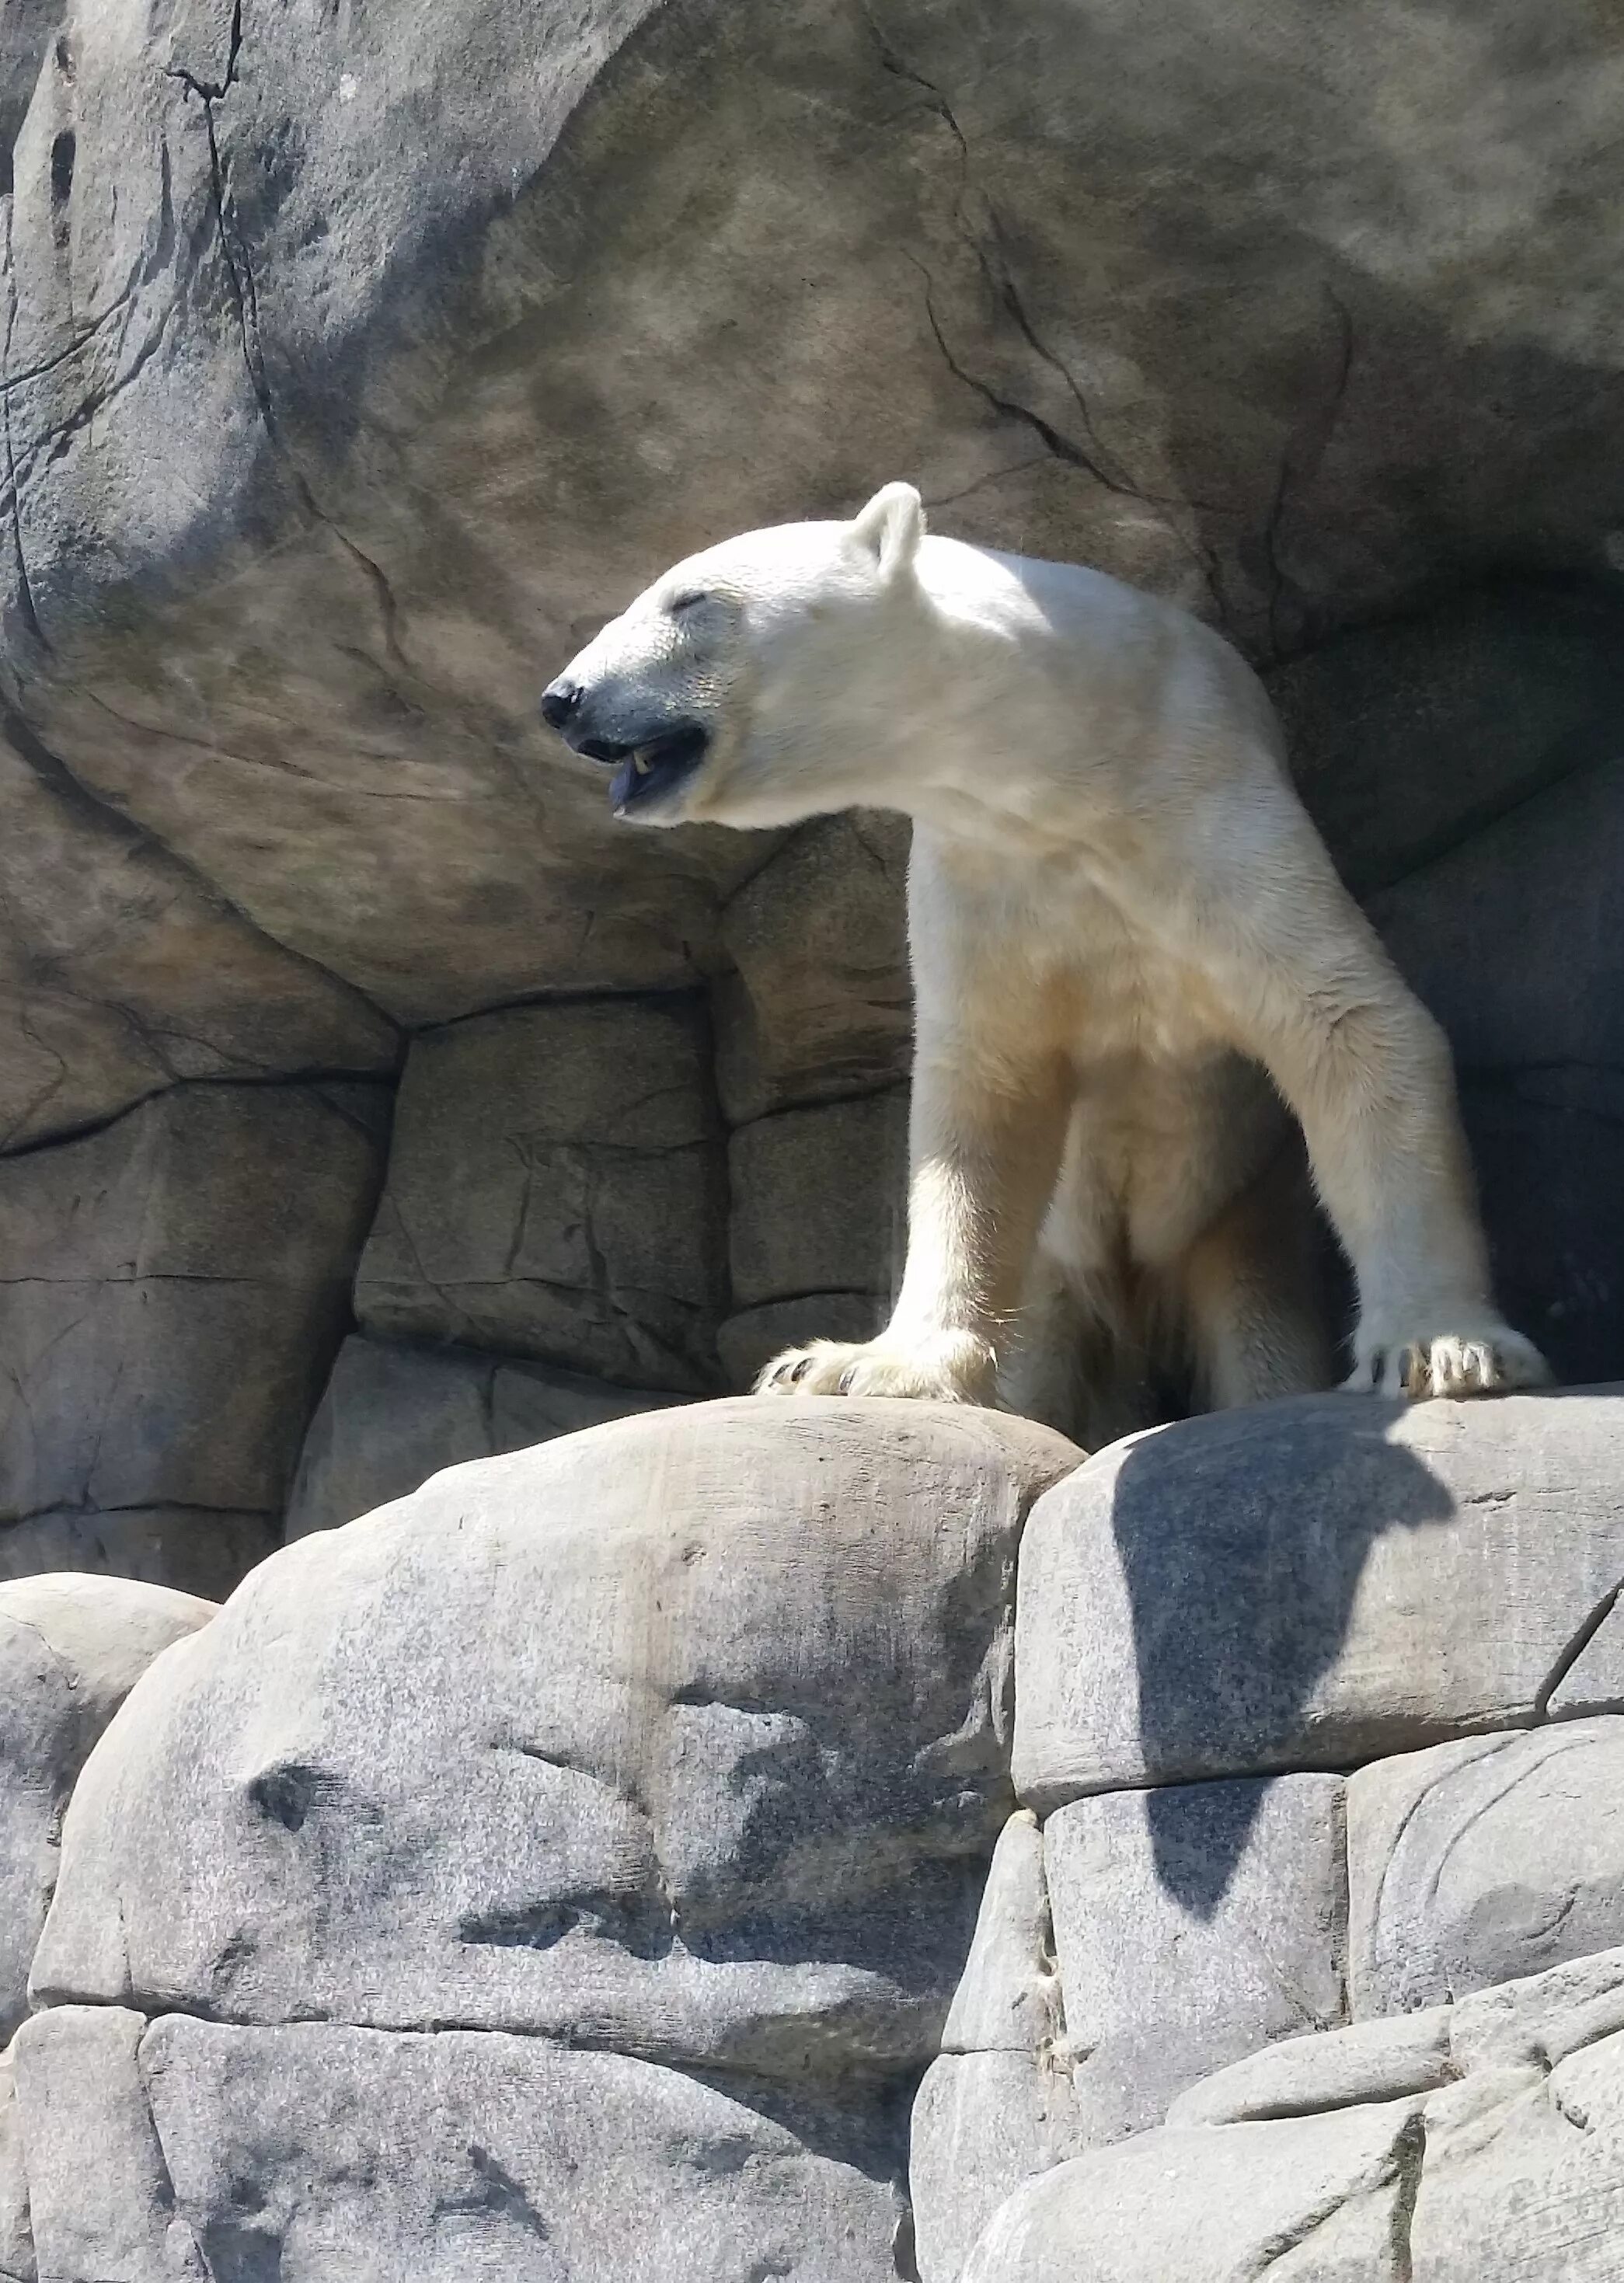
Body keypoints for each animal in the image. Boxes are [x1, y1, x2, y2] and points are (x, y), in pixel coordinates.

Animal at [543, 488, 1553, 1434]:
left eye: (689, 599)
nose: (562, 699)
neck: (1068, 763)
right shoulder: (981, 872)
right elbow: (982, 1102)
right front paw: (859, 1363)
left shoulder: (1203, 803)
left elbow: (1348, 1022)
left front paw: (1436, 1348)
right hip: (1062, 1273)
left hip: (1237, 1217)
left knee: (1258, 1323)